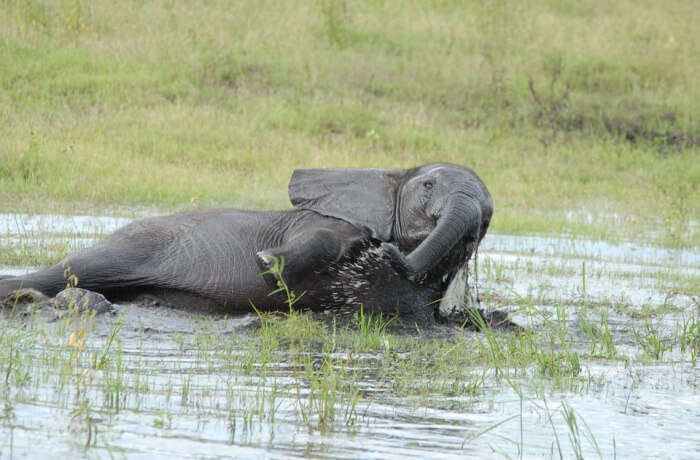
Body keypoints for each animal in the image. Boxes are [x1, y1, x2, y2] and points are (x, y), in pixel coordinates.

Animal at [0, 162, 504, 328]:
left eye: (484, 224)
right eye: (428, 186)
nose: (387, 251)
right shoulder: (322, 218)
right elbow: (323, 240)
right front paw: (268, 262)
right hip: (136, 242)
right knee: (74, 270)